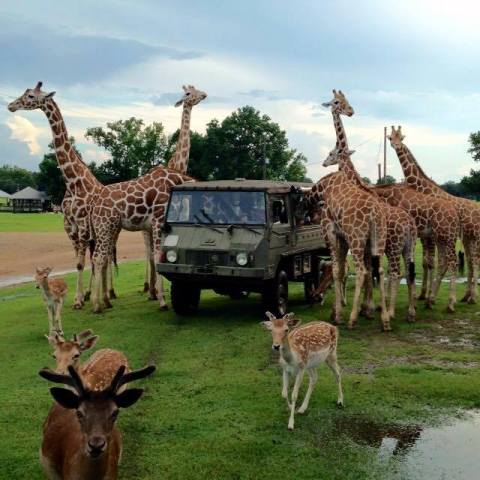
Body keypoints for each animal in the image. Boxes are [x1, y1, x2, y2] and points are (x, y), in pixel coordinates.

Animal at [6, 82, 104, 308]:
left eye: (31, 96)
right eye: (25, 92)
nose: (11, 105)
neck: (73, 182)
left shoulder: (83, 226)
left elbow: (80, 264)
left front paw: (78, 300)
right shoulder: (70, 226)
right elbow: (78, 262)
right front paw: (80, 297)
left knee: (99, 260)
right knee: (93, 259)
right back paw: (90, 294)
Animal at [89, 85, 205, 314]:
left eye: (196, 89)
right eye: (188, 93)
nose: (204, 95)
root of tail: (95, 204)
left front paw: (159, 293)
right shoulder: (159, 222)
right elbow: (158, 254)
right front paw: (162, 299)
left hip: (111, 229)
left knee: (104, 257)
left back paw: (105, 300)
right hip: (107, 228)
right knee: (100, 257)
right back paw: (98, 303)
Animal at [308, 171, 390, 332]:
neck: (324, 188)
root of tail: (375, 213)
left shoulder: (332, 234)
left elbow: (335, 271)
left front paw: (337, 315)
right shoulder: (343, 237)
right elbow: (341, 270)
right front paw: (336, 311)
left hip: (356, 239)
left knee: (361, 271)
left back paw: (352, 319)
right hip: (378, 240)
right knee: (380, 271)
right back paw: (385, 321)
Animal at [320, 91, 418, 322]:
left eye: (331, 153)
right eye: (339, 102)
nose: (350, 111)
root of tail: (410, 224)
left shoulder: (354, 239)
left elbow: (363, 271)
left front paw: (365, 308)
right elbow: (369, 272)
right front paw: (370, 307)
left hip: (392, 246)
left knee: (393, 272)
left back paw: (388, 312)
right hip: (407, 246)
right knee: (408, 271)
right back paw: (410, 311)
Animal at [388, 124, 480, 304]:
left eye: (401, 137)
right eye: (390, 138)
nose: (396, 146)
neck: (425, 189)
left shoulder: (430, 235)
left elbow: (433, 262)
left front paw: (427, 295)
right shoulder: (427, 235)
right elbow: (428, 262)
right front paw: (424, 295)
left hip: (475, 236)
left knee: (475, 260)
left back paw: (472, 297)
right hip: (468, 237)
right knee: (471, 261)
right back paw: (467, 296)